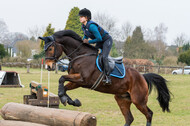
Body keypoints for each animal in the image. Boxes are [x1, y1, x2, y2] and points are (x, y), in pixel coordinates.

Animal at [38, 29, 171, 126]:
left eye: (50, 48)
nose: (48, 66)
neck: (81, 55)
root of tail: (142, 76)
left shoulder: (83, 80)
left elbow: (61, 78)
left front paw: (65, 98)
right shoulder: (77, 81)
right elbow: (64, 85)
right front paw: (71, 101)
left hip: (138, 100)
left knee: (149, 114)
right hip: (122, 99)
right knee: (129, 118)